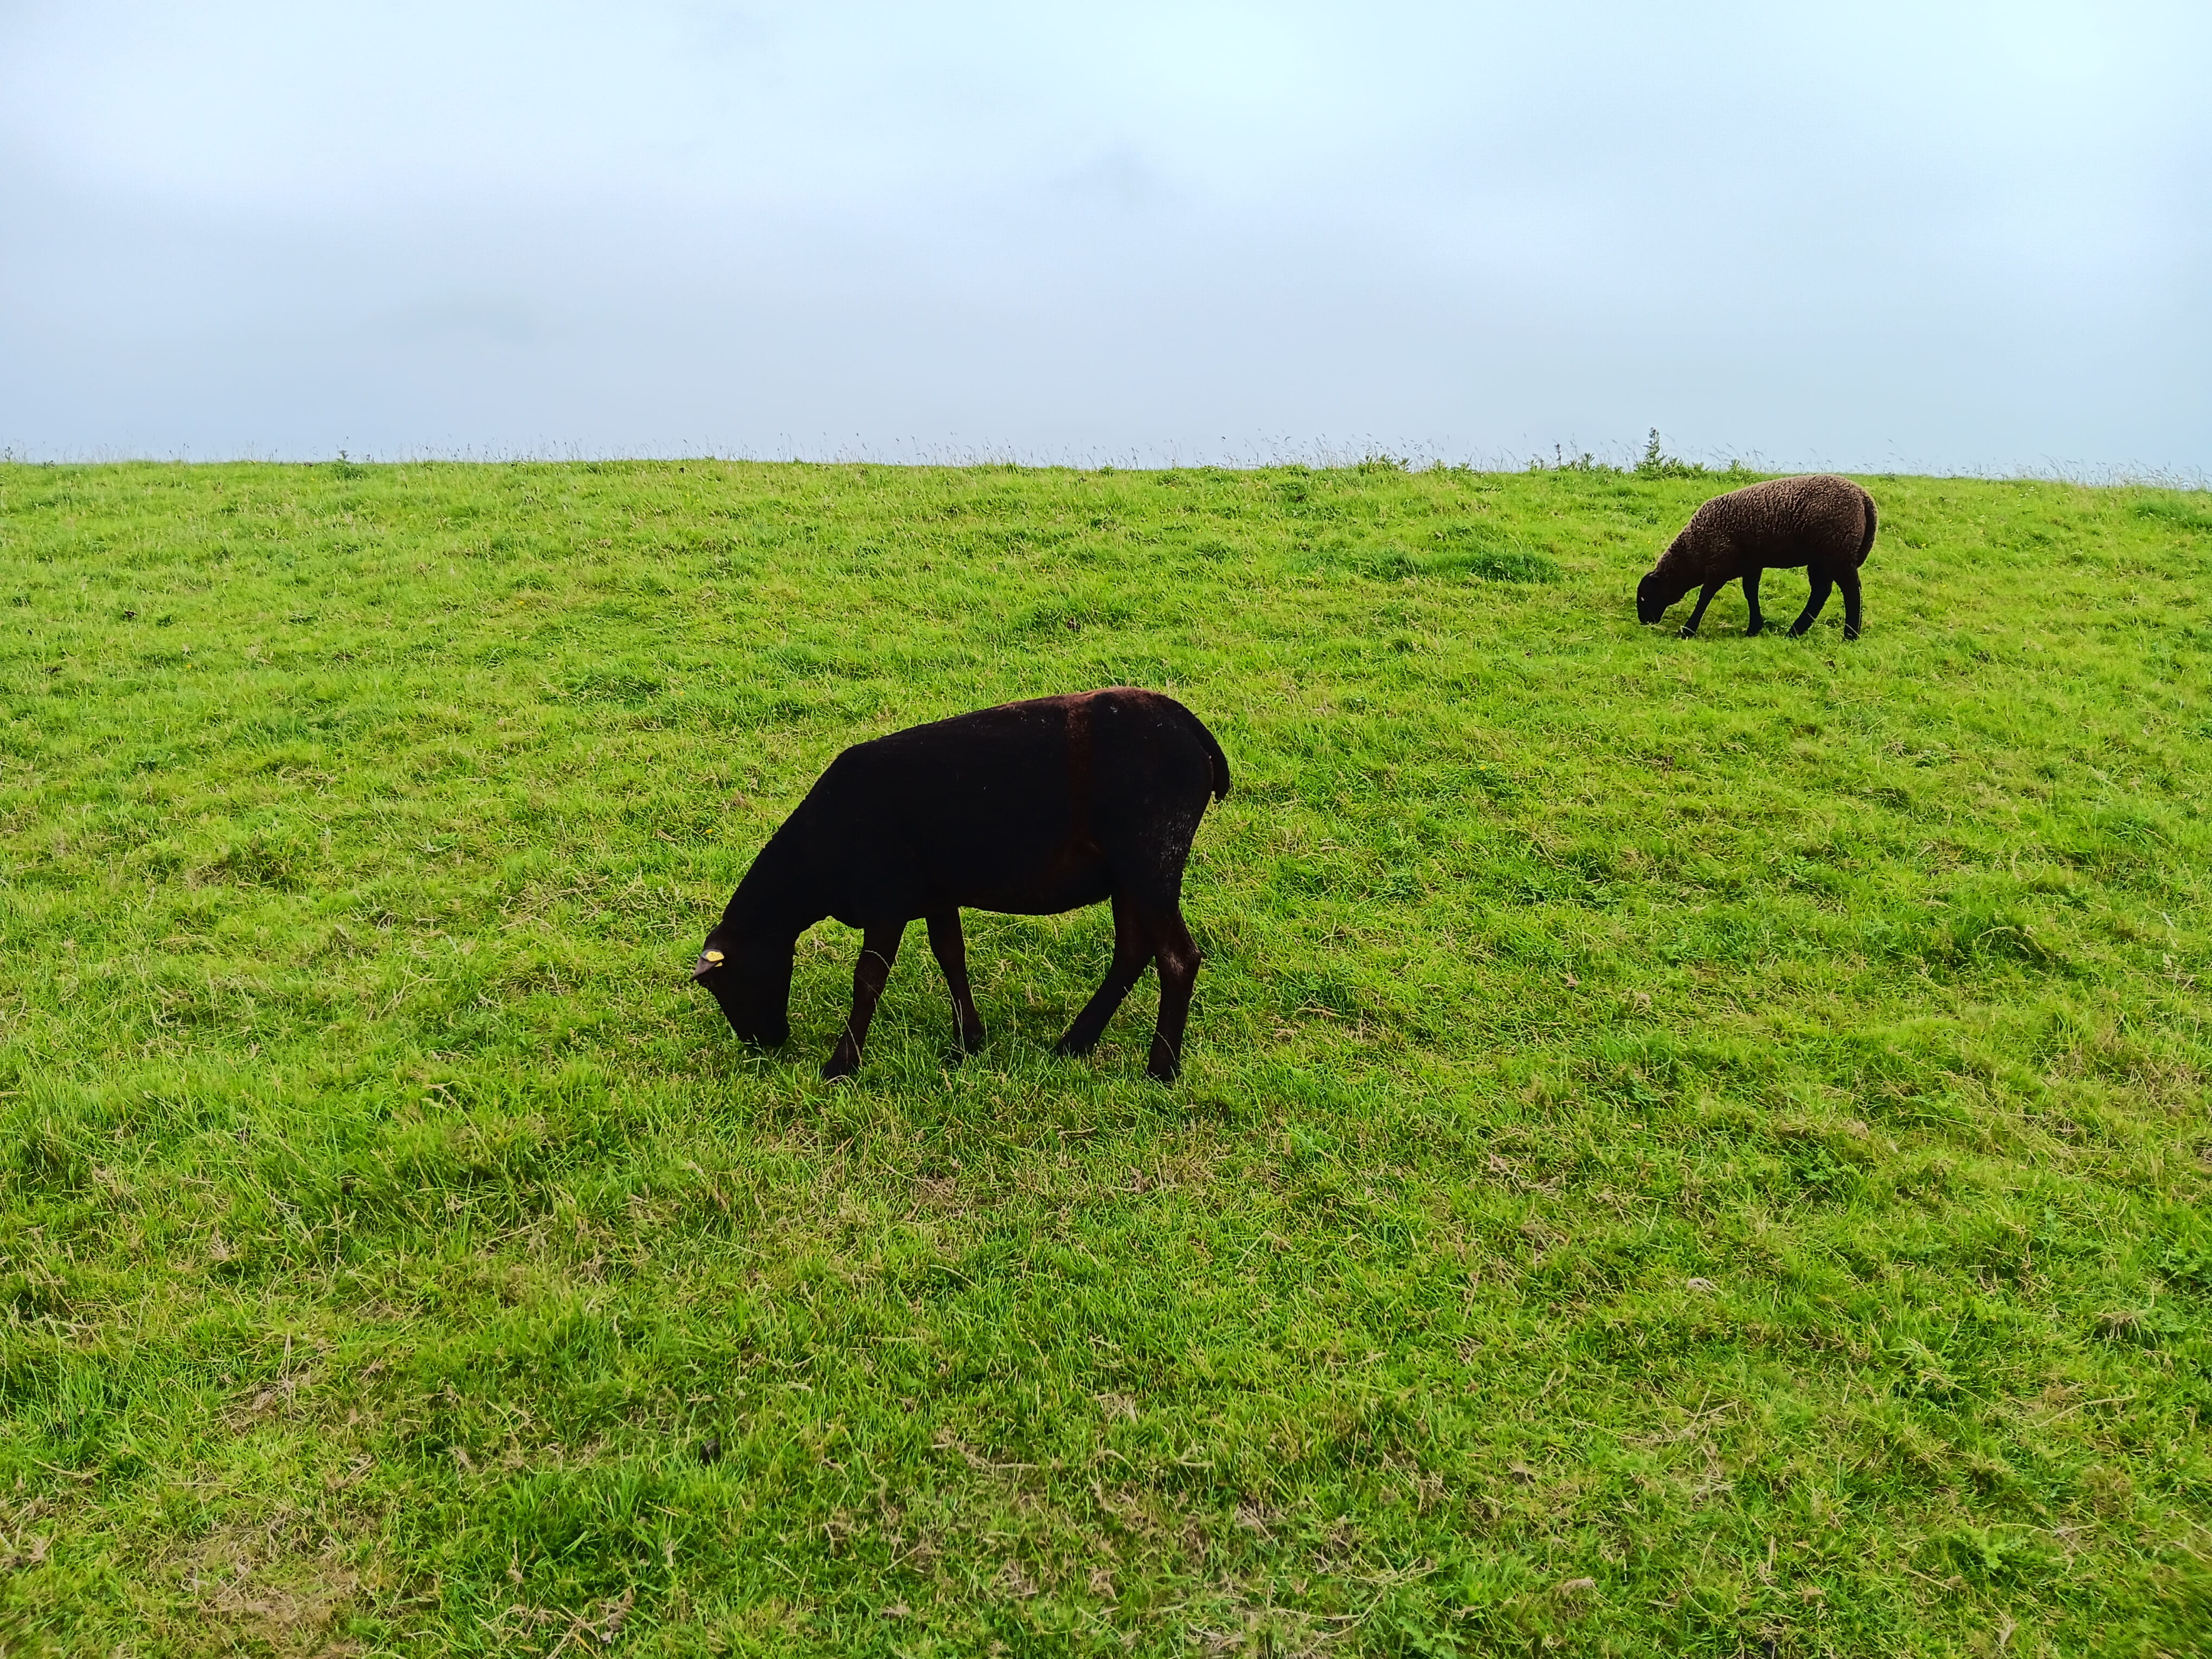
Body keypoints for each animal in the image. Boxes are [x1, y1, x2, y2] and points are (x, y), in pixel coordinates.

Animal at [693, 687, 1231, 1082]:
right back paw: (1074, 1044)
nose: (764, 1042)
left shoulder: (886, 901)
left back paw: (1161, 1069)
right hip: (1129, 872)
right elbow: (951, 955)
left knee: (1177, 958)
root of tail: (1191, 727)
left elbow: (868, 980)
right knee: (1133, 951)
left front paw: (841, 1066)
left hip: (1151, 856)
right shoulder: (935, 894)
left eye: (722, 982)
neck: (814, 862)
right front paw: (968, 1041)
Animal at [1636, 474, 1878, 639]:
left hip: (1837, 551)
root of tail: (1864, 499)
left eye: (1644, 597)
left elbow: (1705, 596)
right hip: (1821, 558)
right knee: (1821, 592)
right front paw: (1754, 628)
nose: (1644, 622)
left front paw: (1687, 630)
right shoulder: (1751, 565)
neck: (1694, 550)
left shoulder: (1719, 564)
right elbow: (1750, 593)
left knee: (1851, 590)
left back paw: (1850, 635)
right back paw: (1795, 632)